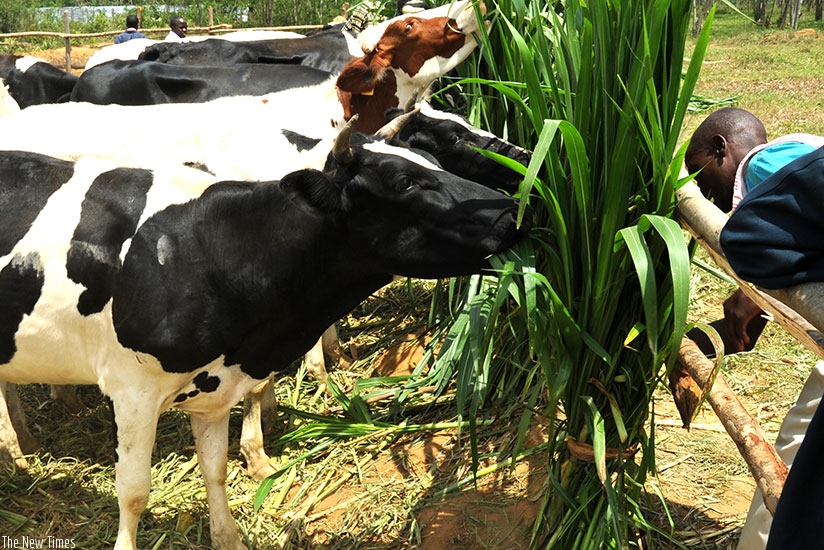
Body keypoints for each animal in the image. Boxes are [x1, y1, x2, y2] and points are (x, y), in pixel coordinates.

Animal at [0, 118, 532, 550]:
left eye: (435, 161)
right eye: (404, 181)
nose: (514, 210)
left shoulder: (214, 390)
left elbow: (214, 470)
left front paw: (229, 536)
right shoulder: (133, 391)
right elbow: (133, 491)